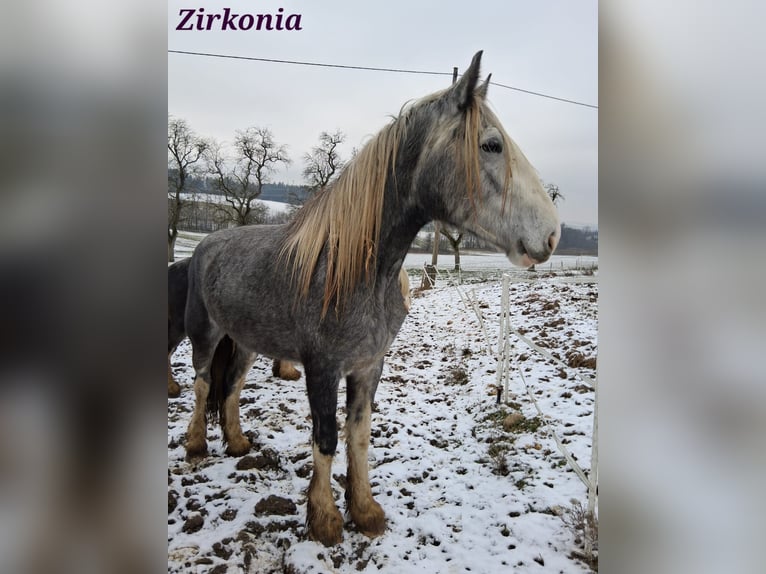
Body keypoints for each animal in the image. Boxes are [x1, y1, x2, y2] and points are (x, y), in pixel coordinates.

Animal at [183, 51, 559, 546]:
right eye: (492, 145)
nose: (551, 234)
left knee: (230, 388)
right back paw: (196, 445)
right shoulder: (323, 368)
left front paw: (364, 511)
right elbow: (325, 437)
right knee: (203, 382)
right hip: (206, 334)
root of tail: (207, 245)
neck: (355, 270)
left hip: (245, 343)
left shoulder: (368, 365)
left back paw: (238, 443)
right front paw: (324, 520)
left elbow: (359, 434)